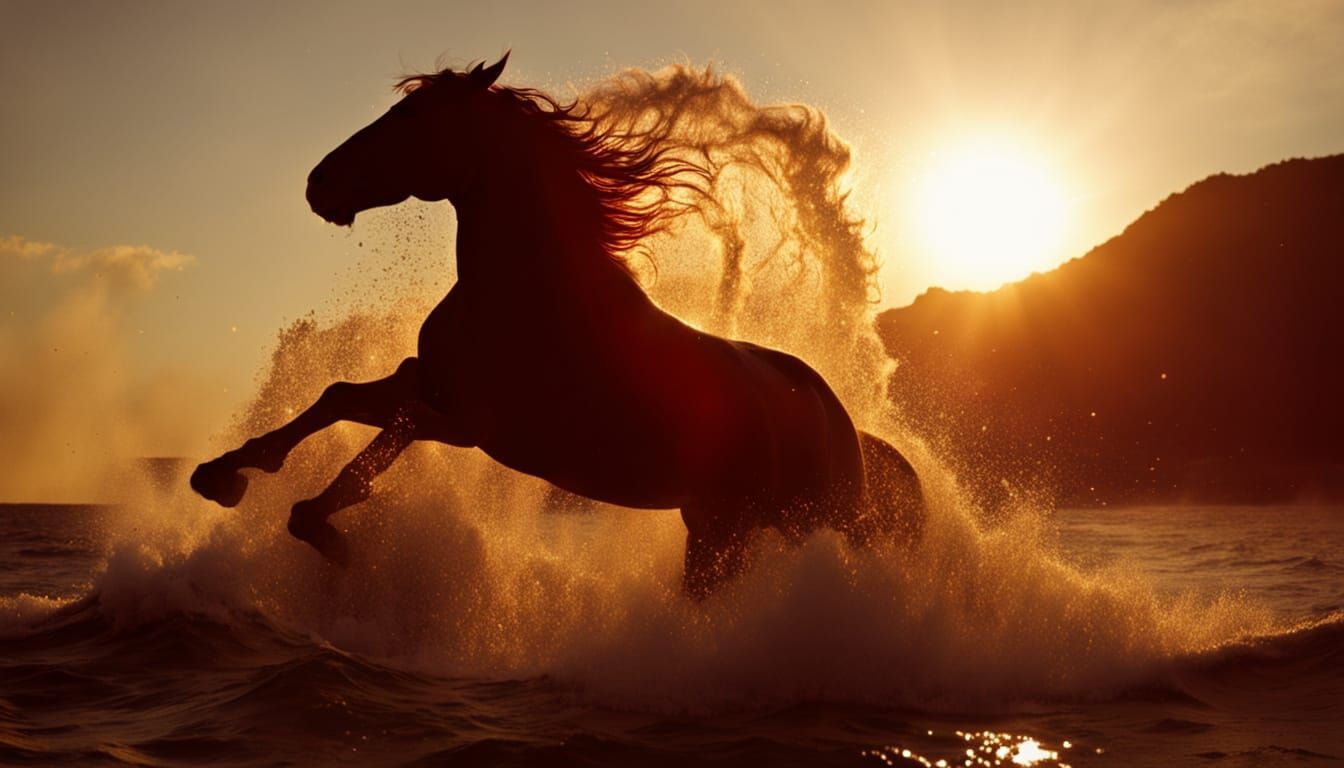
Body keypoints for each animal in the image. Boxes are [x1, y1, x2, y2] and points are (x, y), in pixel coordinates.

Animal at [190, 54, 923, 598]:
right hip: (717, 526)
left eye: (412, 115)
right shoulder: (429, 383)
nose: (319, 183)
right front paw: (222, 476)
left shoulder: (469, 422)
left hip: (786, 529)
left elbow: (372, 453)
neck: (528, 293)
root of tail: (850, 431)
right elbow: (337, 397)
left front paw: (325, 532)